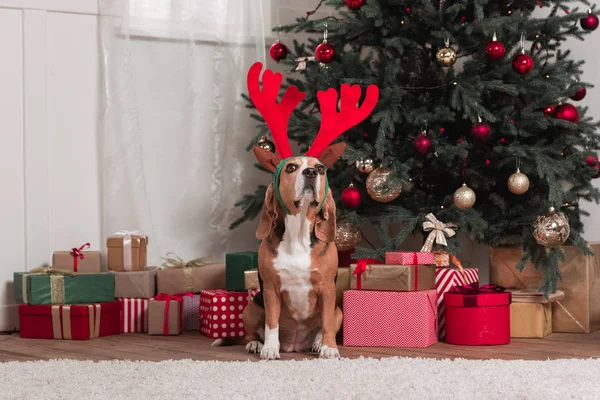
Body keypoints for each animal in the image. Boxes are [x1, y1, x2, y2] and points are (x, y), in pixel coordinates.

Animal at [241, 61, 378, 360]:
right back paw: (256, 344)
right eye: (291, 167)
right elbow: (271, 323)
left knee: (326, 323)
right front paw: (270, 348)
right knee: (254, 329)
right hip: (251, 306)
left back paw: (315, 342)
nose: (312, 172)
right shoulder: (270, 289)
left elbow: (325, 321)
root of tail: (295, 344)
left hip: (339, 310)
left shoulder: (327, 289)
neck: (298, 232)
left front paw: (328, 347)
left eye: (322, 168)